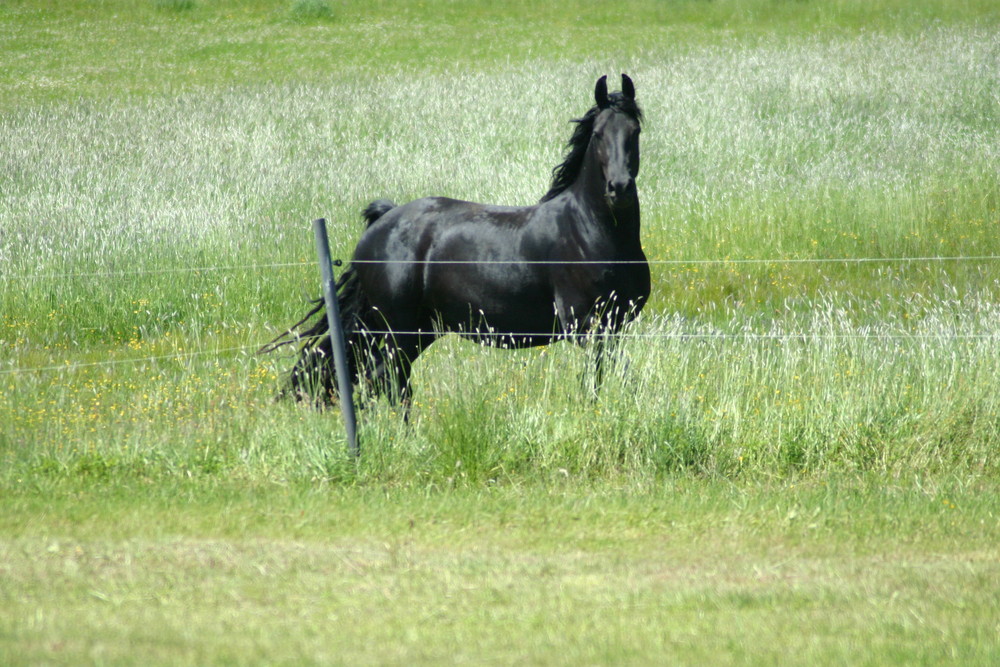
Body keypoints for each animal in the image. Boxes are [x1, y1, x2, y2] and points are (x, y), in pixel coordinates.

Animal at [266, 75, 652, 404]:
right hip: (398, 329)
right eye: (598, 133)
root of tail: (383, 221)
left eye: (634, 131)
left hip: (418, 329)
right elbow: (607, 381)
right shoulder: (588, 327)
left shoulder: (614, 326)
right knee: (390, 380)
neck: (589, 232)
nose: (619, 188)